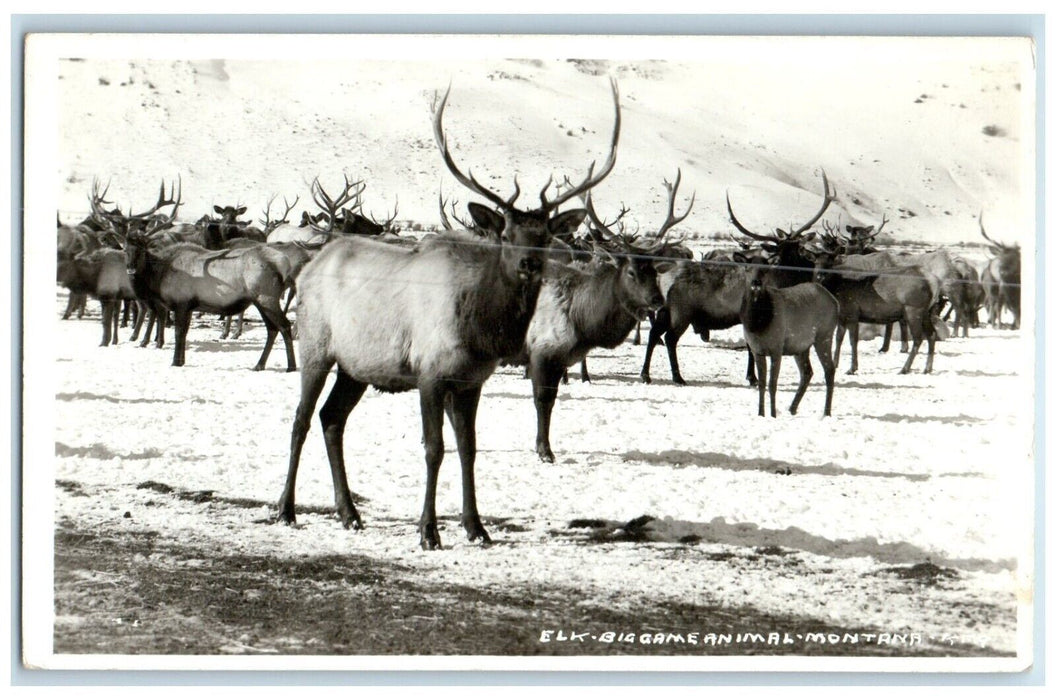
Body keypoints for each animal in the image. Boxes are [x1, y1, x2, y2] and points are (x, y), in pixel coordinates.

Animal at [276, 79, 616, 549]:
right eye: (506, 233)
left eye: (545, 235)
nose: (529, 263)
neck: (482, 330)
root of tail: (309, 267)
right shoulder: (430, 373)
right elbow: (434, 448)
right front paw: (429, 531)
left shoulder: (471, 379)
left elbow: (468, 448)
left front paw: (477, 527)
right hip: (315, 347)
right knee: (300, 419)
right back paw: (285, 509)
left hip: (356, 366)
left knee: (332, 420)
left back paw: (349, 513)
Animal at [739, 268, 836, 415]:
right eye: (747, 268)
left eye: (764, 270)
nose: (756, 282)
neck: (758, 325)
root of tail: (836, 303)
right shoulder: (757, 350)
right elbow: (761, 384)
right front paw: (761, 414)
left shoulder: (777, 348)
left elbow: (772, 384)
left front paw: (773, 415)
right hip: (801, 346)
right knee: (807, 372)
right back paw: (792, 408)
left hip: (824, 336)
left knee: (829, 369)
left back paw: (826, 413)